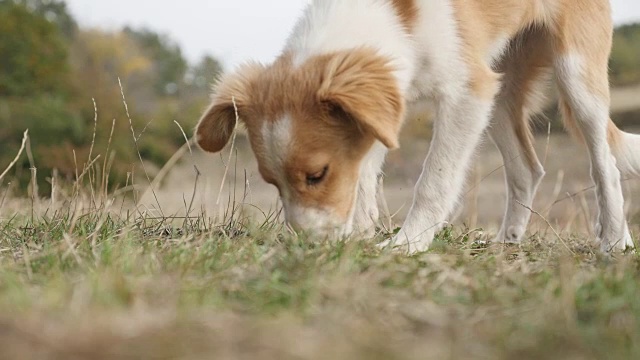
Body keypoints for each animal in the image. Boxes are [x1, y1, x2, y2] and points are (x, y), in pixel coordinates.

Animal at [195, 0, 640, 253]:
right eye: (272, 182)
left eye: (317, 174)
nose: (308, 247)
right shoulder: (385, 109)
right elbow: (364, 178)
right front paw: (361, 234)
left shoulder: (467, 93)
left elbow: (434, 180)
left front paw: (407, 243)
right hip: (501, 87)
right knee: (528, 168)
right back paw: (507, 242)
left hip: (574, 72)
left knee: (604, 163)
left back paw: (615, 240)